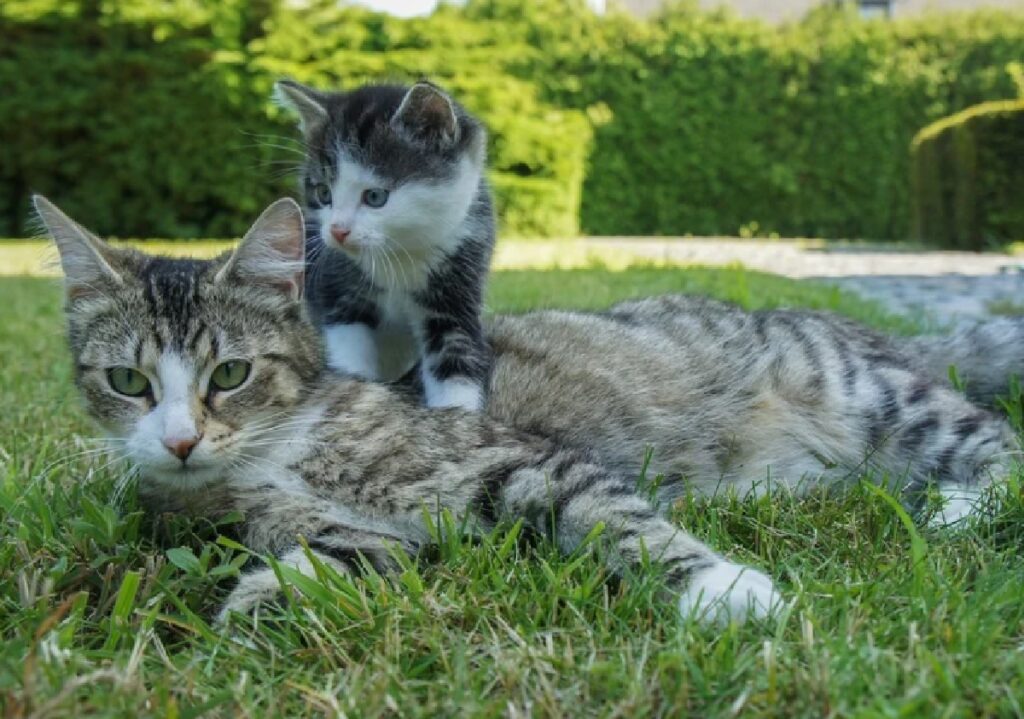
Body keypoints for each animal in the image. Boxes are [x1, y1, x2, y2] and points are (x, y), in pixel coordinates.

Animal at [36, 195, 1019, 626]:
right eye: (128, 382)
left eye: (230, 371)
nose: (180, 439)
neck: (274, 455)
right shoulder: (345, 532)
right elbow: (342, 559)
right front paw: (257, 601)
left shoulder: (518, 458)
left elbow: (619, 516)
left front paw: (722, 587)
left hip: (878, 398)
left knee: (1000, 444)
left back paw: (959, 508)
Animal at [272, 78, 495, 411]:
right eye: (324, 193)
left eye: (376, 197)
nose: (337, 231)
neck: (399, 251)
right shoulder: (339, 291)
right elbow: (349, 354)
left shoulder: (458, 286)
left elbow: (456, 361)